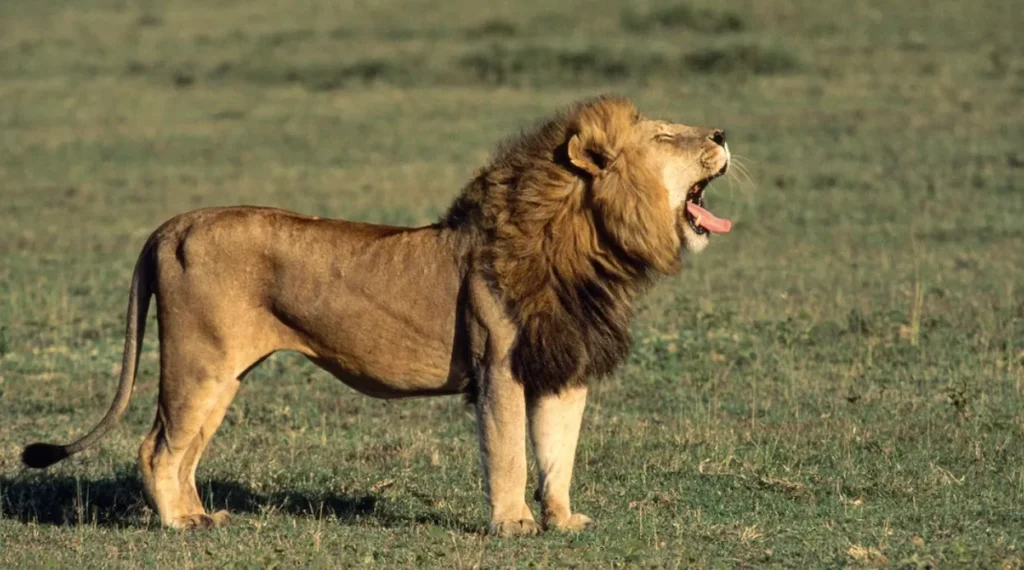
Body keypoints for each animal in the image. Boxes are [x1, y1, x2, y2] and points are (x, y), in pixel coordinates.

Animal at [22, 95, 732, 535]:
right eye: (666, 136)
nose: (725, 134)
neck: (589, 246)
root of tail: (173, 223)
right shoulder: (498, 366)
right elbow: (507, 451)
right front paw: (514, 526)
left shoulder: (562, 364)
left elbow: (559, 451)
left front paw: (561, 521)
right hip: (198, 363)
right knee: (156, 448)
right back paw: (178, 525)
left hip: (223, 373)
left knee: (184, 450)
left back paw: (201, 517)